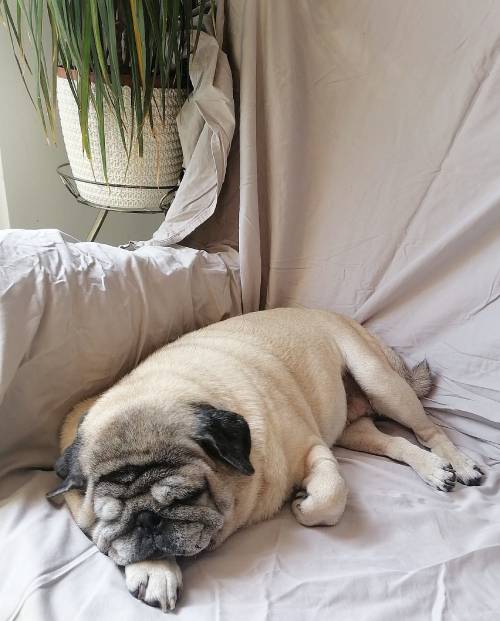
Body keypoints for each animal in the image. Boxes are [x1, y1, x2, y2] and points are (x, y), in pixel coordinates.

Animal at [48, 308, 484, 611]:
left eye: (186, 497)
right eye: (108, 515)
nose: (147, 520)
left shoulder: (313, 448)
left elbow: (331, 492)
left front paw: (304, 505)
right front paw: (154, 568)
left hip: (379, 380)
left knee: (428, 431)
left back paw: (459, 465)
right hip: (353, 427)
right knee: (396, 444)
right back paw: (433, 470)